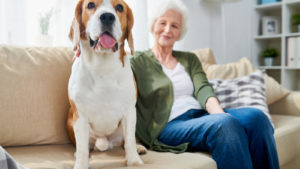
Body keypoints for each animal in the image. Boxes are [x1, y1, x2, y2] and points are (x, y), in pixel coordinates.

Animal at [66, 0, 145, 168]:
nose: (107, 17)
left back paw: (139, 148)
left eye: (120, 7)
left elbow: (129, 140)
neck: (102, 66)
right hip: (70, 121)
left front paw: (134, 161)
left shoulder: (129, 112)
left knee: (125, 142)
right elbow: (82, 147)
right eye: (90, 5)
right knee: (85, 146)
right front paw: (81, 163)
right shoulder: (80, 116)